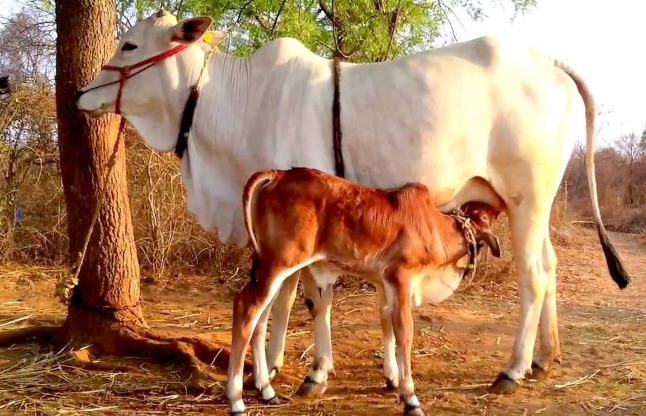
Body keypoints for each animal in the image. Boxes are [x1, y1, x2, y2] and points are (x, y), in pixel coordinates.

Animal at [228, 167, 503, 415]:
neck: (435, 227)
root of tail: (280, 174)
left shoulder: (384, 284)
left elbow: (386, 324)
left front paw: (392, 380)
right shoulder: (400, 278)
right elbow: (404, 333)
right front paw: (411, 399)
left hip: (271, 268)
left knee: (260, 319)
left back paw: (267, 391)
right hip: (279, 263)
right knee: (246, 310)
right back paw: (237, 401)